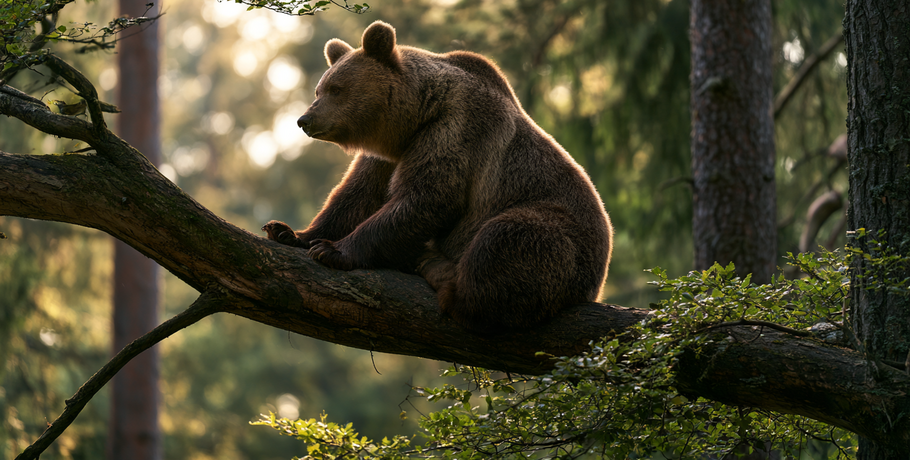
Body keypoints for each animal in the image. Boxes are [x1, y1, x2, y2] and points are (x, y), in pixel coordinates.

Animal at [263, 21, 612, 335]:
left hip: (564, 236)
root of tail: (597, 284)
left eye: (336, 89)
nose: (305, 119)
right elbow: (355, 196)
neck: (417, 114)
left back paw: (438, 269)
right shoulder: (390, 154)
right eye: (319, 89)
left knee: (507, 238)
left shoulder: (454, 130)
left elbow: (427, 197)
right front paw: (289, 232)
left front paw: (333, 250)